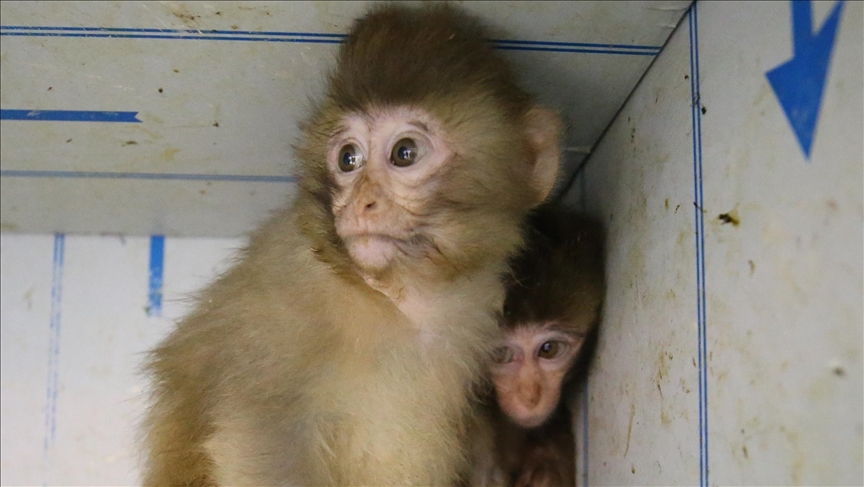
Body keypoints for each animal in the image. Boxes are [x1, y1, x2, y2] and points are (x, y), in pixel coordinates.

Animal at [139, 4, 564, 487]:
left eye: (404, 153)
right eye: (348, 159)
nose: (362, 202)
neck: (396, 301)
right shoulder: (281, 302)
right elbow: (258, 437)